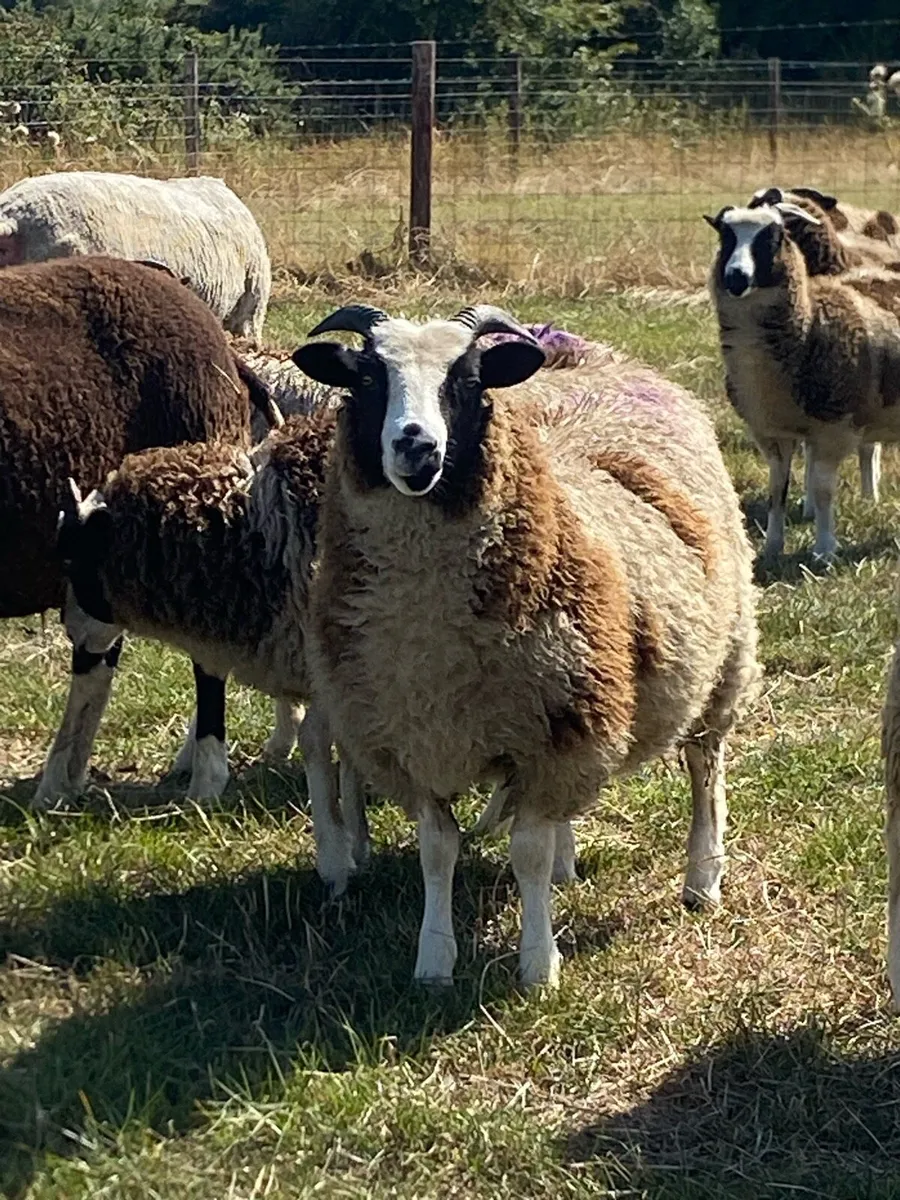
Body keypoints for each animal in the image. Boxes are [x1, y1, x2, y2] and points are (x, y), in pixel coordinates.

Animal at [291, 302, 759, 988]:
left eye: (467, 381)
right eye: (368, 379)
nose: (416, 445)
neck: (431, 648)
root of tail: (603, 359)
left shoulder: (554, 735)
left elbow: (527, 853)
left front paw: (539, 965)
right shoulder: (411, 741)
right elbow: (438, 852)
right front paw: (434, 959)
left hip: (721, 661)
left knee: (705, 769)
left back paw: (703, 878)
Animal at [706, 202, 900, 561]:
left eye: (774, 236)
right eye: (725, 236)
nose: (736, 277)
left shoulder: (834, 427)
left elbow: (823, 491)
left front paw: (824, 550)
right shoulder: (772, 431)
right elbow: (776, 491)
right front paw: (771, 548)